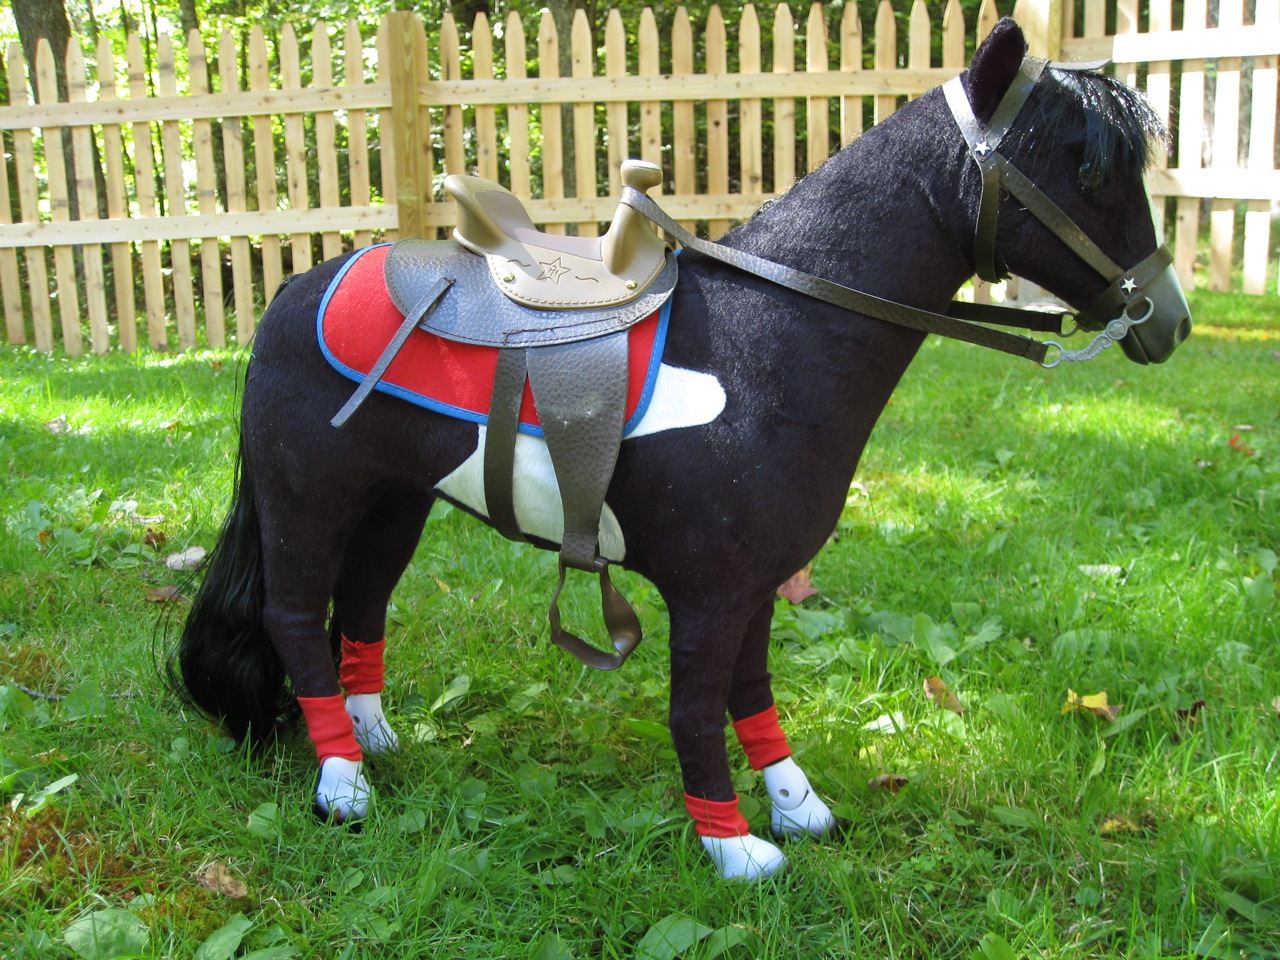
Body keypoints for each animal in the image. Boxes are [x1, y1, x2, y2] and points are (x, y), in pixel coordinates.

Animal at [171, 19, 1190, 880]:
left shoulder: (756, 587)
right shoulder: (710, 593)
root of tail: (295, 291)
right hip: (307, 503)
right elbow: (697, 709)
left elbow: (754, 695)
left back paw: (371, 740)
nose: (1167, 320)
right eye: (1089, 171)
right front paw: (733, 847)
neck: (769, 331)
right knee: (295, 618)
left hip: (395, 504)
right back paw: (342, 785)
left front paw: (798, 808)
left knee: (361, 607)